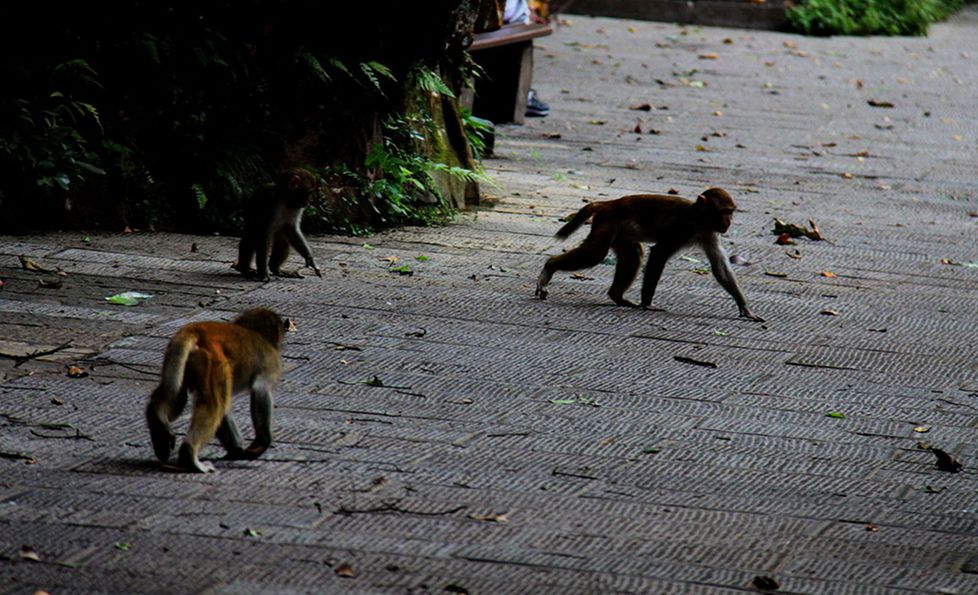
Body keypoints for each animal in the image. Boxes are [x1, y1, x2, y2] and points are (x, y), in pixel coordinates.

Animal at [144, 310, 286, 472]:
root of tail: (195, 329)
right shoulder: (272, 362)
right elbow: (261, 390)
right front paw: (262, 443)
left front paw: (236, 450)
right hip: (213, 360)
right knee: (214, 405)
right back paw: (189, 455)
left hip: (183, 359)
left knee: (176, 395)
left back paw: (157, 419)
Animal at [532, 190, 764, 322]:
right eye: (725, 212)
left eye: (731, 212)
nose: (729, 222)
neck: (698, 217)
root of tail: (609, 203)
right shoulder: (682, 229)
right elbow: (659, 254)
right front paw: (647, 304)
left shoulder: (710, 233)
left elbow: (719, 265)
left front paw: (745, 308)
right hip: (606, 223)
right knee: (595, 254)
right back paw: (549, 267)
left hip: (618, 230)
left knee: (633, 253)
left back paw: (617, 296)